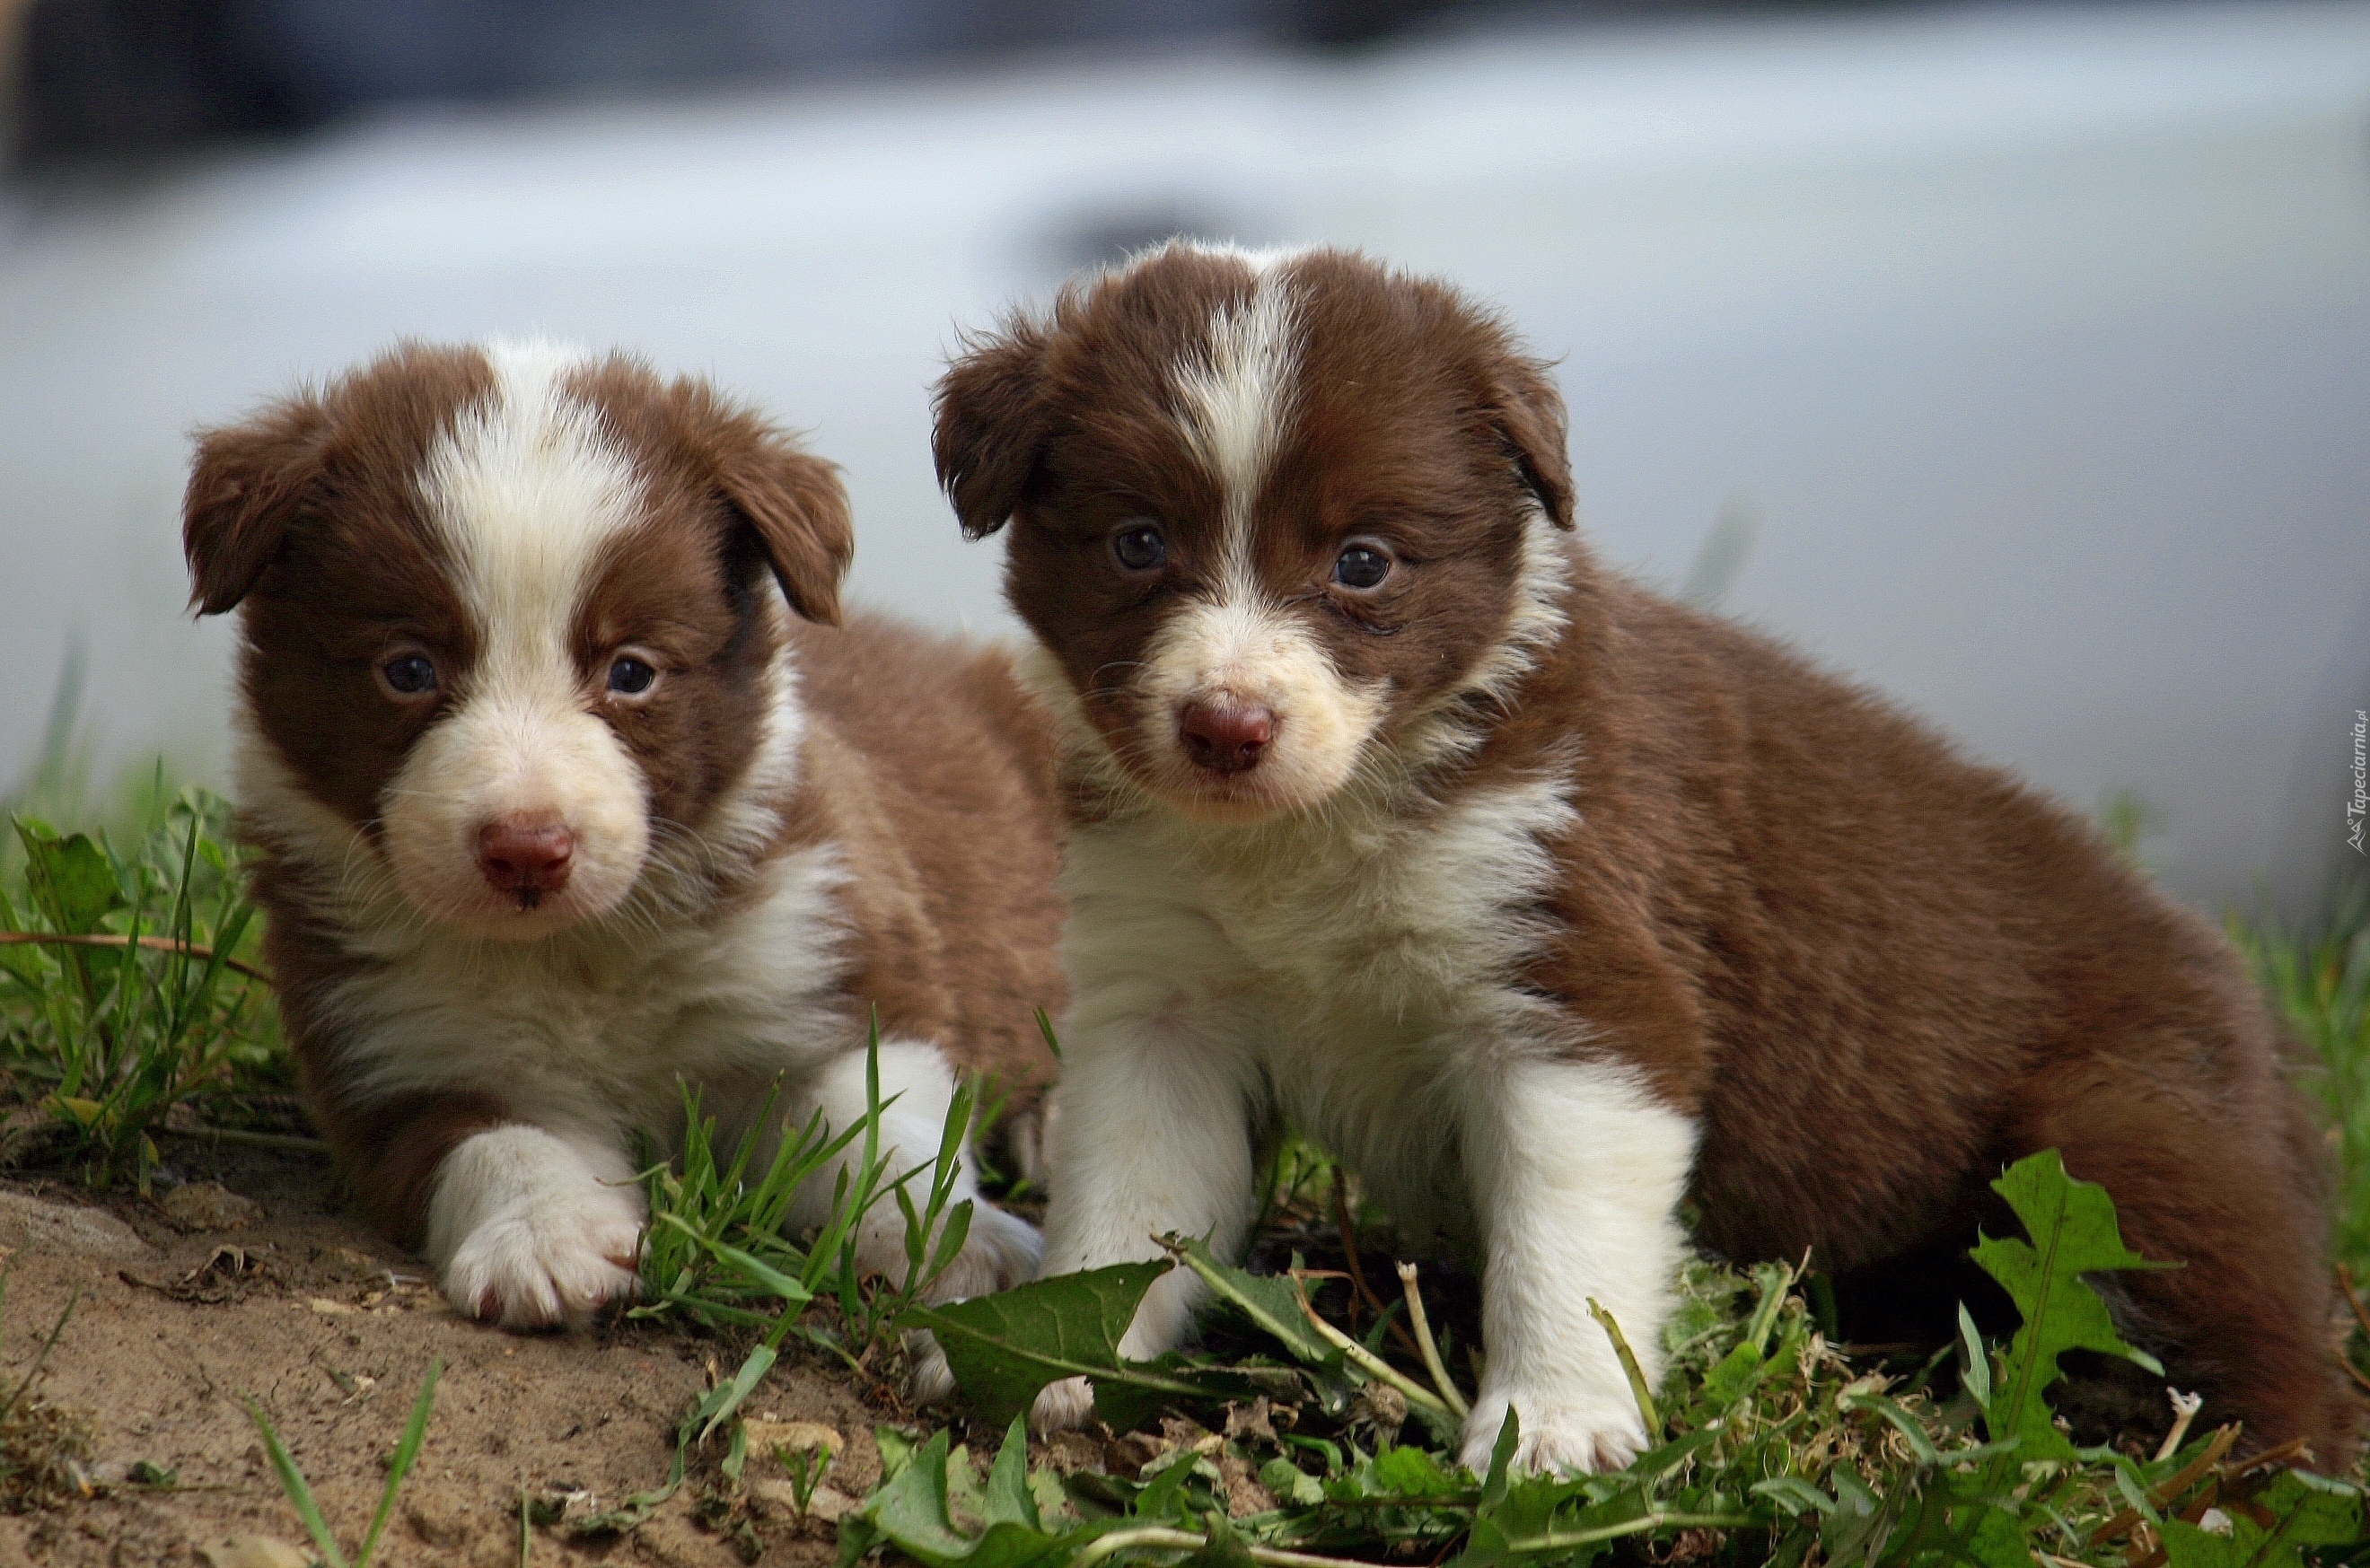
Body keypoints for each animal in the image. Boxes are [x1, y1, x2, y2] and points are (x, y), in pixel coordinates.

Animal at [187, 341, 1066, 1326]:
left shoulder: (834, 949)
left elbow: (875, 1119)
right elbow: (492, 1137)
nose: (527, 849)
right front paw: (546, 1236)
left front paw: (953, 1243)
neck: (588, 948)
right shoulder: (392, 1047)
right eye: (407, 669)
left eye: (632, 671)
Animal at [934, 242, 2360, 1477]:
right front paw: (1060, 1357)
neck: (1319, 827)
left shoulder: (1582, 988)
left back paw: (2242, 1476)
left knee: (2268, 1353)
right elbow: (1130, 1197)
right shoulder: (1163, 996)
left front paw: (1551, 1423)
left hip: (2125, 1135)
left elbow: (1560, 1237)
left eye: (1363, 562)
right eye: (1137, 543)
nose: (1226, 728)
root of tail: (2265, 1034)